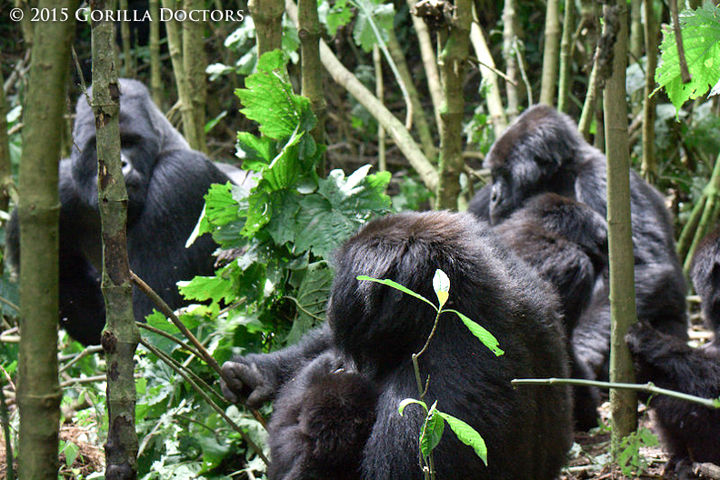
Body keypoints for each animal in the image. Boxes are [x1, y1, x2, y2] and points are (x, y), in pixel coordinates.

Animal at [5, 80, 250, 346]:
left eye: (130, 142)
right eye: (96, 146)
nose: (121, 165)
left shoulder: (178, 178)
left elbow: (154, 322)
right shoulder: (61, 190)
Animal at [470, 105, 688, 378]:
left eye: (503, 174)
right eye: (493, 175)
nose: (494, 196)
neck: (558, 176)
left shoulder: (603, 177)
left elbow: (643, 266)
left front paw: (585, 345)